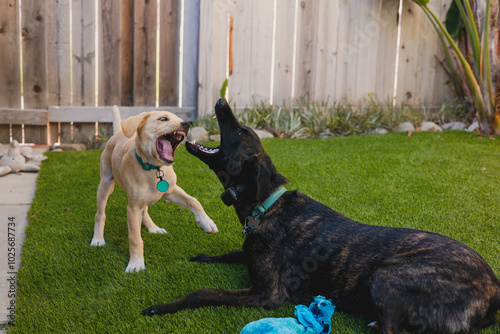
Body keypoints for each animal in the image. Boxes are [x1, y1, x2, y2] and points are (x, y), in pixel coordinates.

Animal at [142, 98, 500, 332]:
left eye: (241, 132)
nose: (220, 100)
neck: (266, 205)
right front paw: (205, 256)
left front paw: (162, 306)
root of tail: (494, 289)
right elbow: (233, 252)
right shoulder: (249, 254)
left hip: (386, 275)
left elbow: (202, 293)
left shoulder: (267, 295)